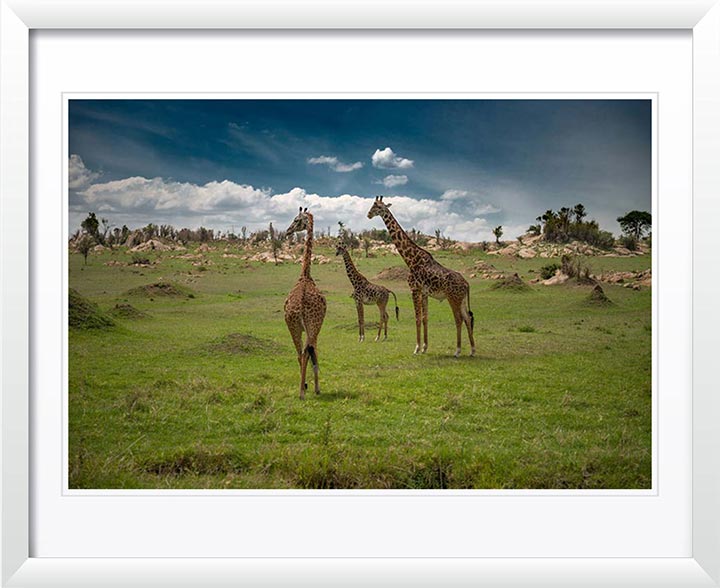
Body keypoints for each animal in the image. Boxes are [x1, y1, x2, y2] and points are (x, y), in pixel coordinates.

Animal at [367, 196, 475, 357]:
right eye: (373, 205)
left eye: (378, 207)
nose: (368, 214)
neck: (411, 259)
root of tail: (467, 284)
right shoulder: (424, 293)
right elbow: (425, 318)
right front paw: (424, 347)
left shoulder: (414, 290)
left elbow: (417, 318)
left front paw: (416, 348)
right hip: (461, 299)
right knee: (467, 318)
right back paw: (472, 350)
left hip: (453, 298)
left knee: (459, 319)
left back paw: (457, 350)